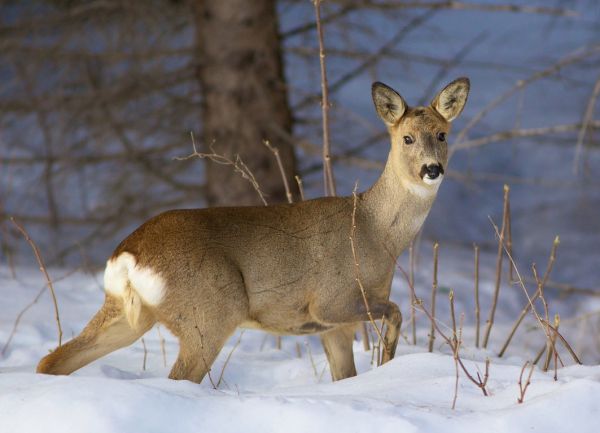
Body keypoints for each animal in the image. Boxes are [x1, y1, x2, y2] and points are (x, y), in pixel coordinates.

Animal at [36, 77, 468, 382]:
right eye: (407, 137)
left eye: (443, 134)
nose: (432, 169)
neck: (375, 232)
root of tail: (128, 254)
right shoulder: (331, 300)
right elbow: (395, 311)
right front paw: (388, 362)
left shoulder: (333, 327)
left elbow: (344, 376)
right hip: (210, 311)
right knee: (179, 376)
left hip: (128, 314)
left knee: (53, 359)